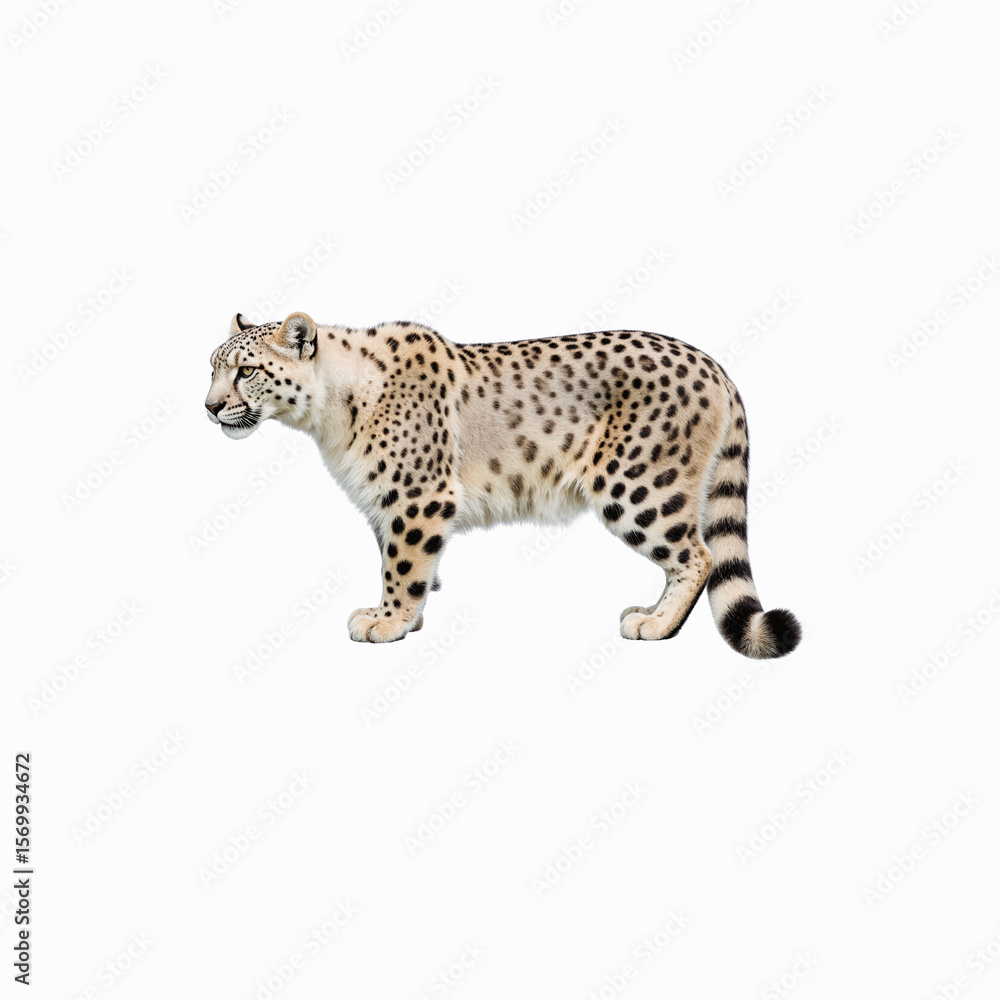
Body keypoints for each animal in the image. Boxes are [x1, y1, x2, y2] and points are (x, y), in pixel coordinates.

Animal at [205, 311, 801, 656]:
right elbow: (402, 563)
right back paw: (650, 613)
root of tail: (710, 361)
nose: (209, 407)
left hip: (637, 487)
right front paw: (401, 617)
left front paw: (389, 621)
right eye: (212, 367)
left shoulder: (420, 497)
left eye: (246, 370)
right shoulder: (388, 503)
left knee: (698, 555)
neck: (329, 412)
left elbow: (403, 565)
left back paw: (656, 626)